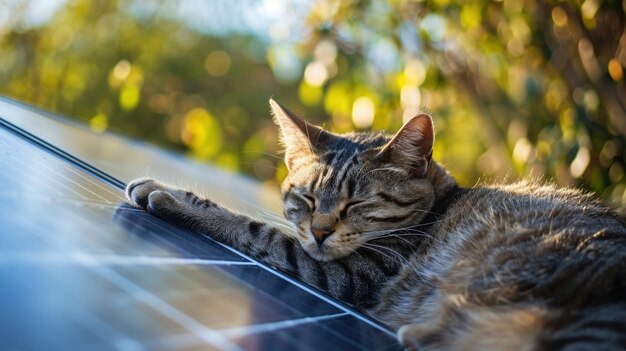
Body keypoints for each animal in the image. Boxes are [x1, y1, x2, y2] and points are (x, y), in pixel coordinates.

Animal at [125, 99, 624, 351]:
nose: (320, 231)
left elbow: (255, 230)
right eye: (307, 199)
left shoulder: (349, 273)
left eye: (357, 204)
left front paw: (169, 195)